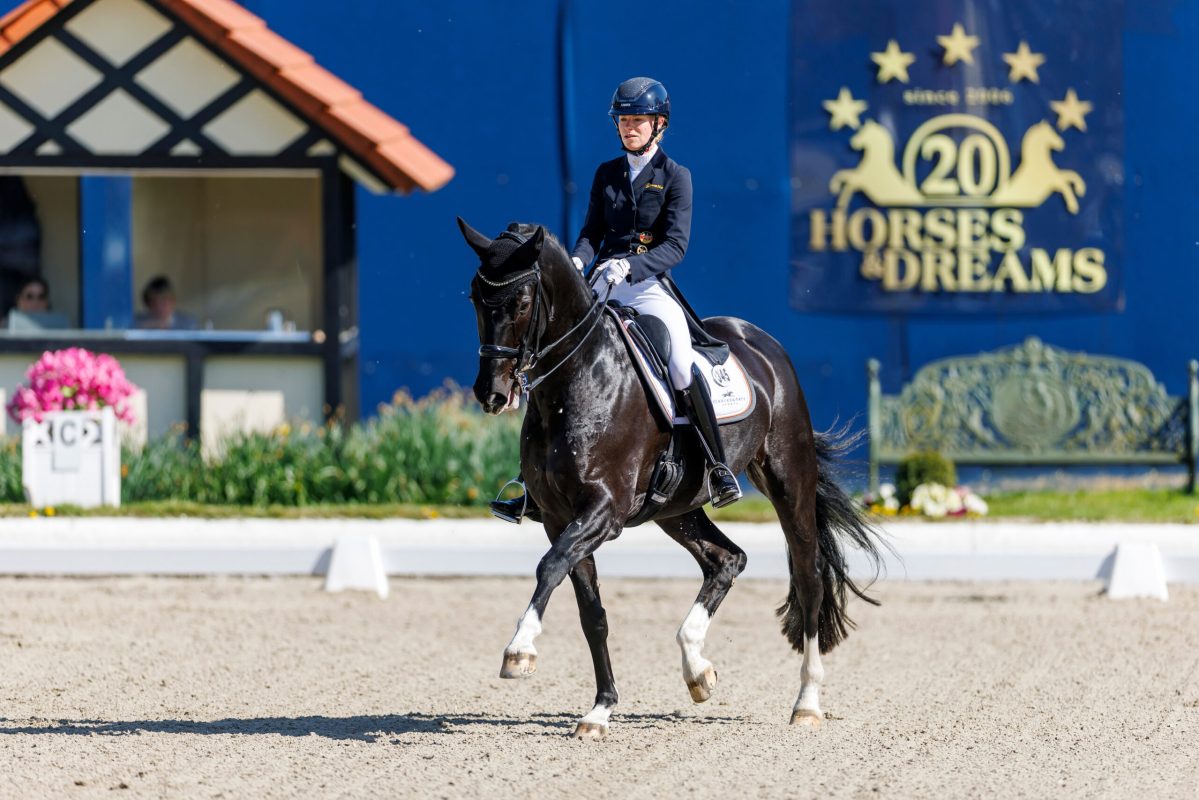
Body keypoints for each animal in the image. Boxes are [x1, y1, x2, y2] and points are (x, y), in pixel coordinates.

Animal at [460, 217, 886, 738]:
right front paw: (600, 709)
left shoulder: (604, 512)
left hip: (789, 481)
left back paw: (806, 703)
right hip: (677, 508)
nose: (492, 394)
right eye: (474, 298)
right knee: (727, 559)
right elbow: (590, 611)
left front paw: (519, 651)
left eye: (521, 303)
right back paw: (697, 670)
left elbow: (549, 566)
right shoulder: (561, 518)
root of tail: (762, 342)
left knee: (808, 580)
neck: (577, 380)